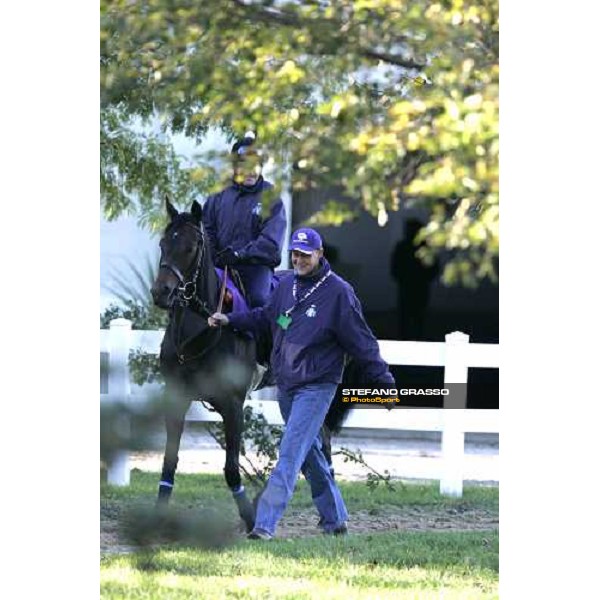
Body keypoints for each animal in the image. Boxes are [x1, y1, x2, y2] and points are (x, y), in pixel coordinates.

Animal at [150, 200, 258, 528]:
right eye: (163, 244)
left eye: (191, 247)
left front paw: (251, 520)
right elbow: (169, 459)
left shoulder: (233, 405)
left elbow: (232, 467)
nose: (161, 293)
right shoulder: (175, 397)